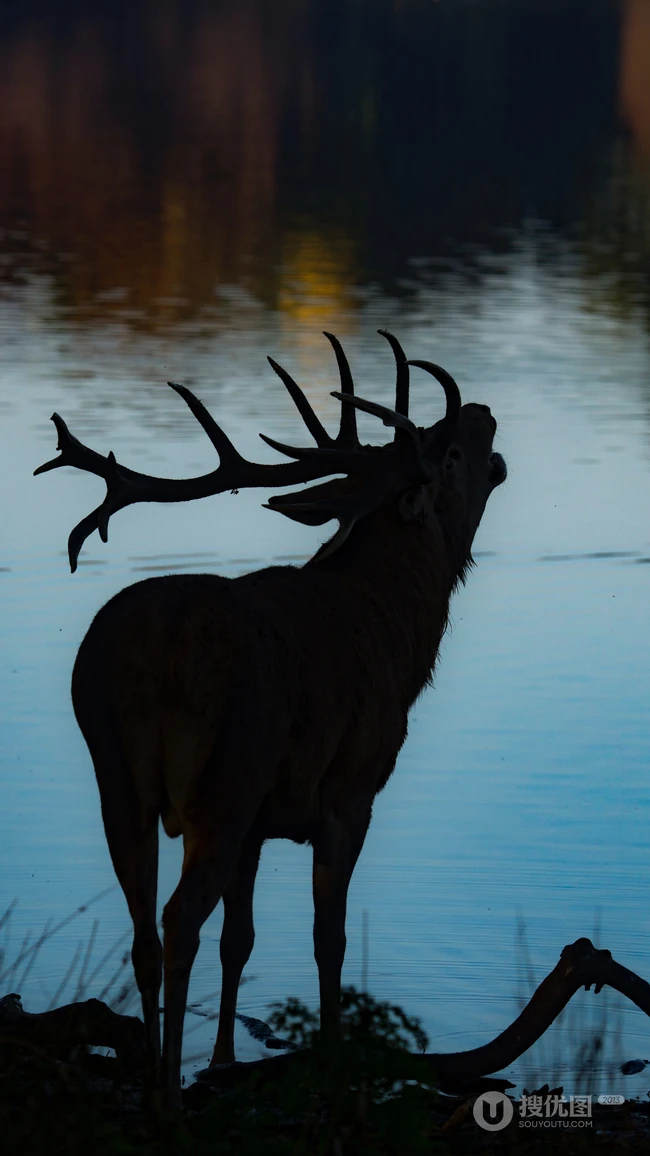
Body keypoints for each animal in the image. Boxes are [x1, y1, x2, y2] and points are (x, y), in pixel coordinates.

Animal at [35, 330, 506, 1108]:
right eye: (449, 453)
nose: (485, 414)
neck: (400, 631)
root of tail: (151, 653)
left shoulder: (261, 821)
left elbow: (243, 940)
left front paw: (225, 1060)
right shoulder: (351, 789)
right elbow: (328, 937)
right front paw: (334, 1059)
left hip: (117, 776)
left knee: (145, 927)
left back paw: (158, 1073)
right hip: (228, 772)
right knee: (178, 918)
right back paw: (168, 1093)